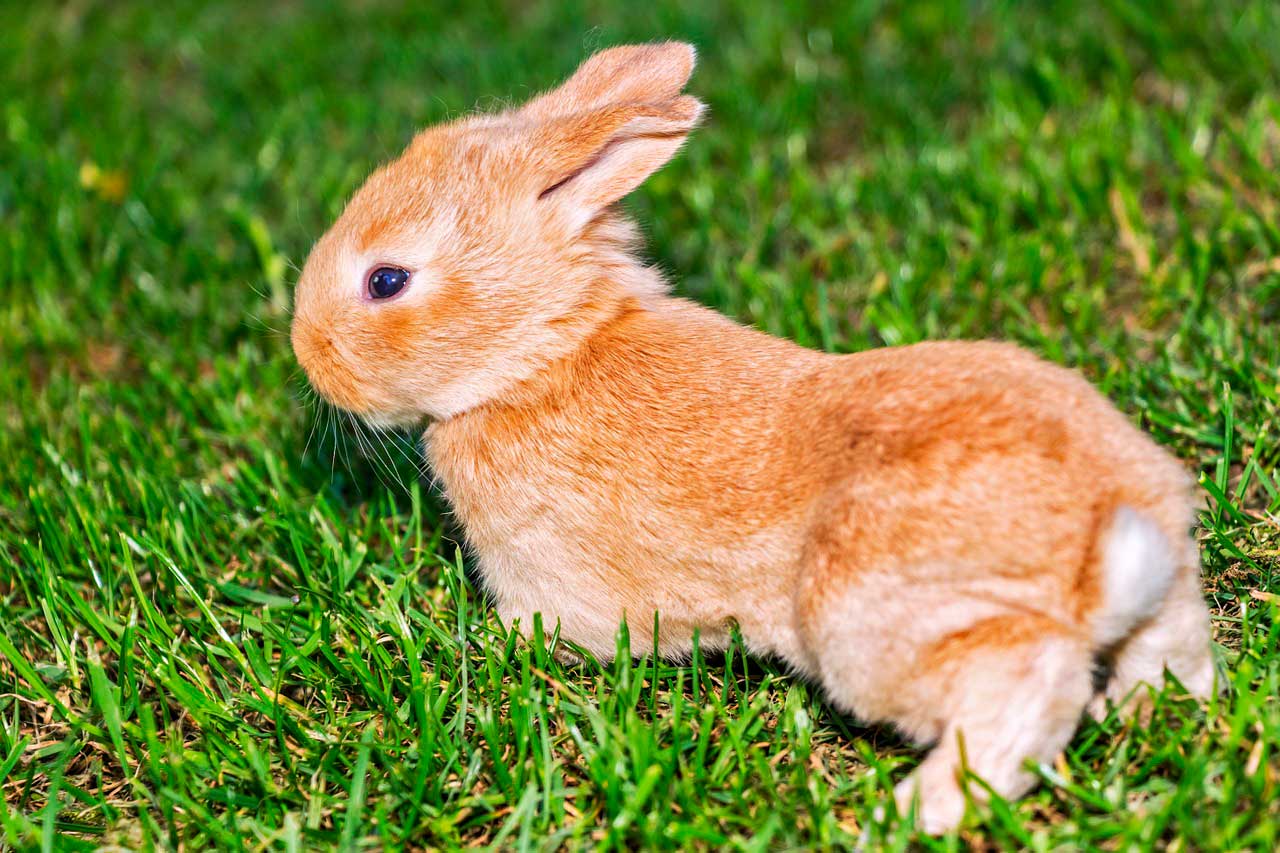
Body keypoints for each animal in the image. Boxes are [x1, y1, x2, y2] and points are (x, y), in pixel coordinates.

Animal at [293, 41, 1218, 829]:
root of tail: (1107, 533)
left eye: (386, 280)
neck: (542, 354)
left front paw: (484, 645)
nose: (306, 349)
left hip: (865, 622)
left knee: (1022, 692)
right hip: (1157, 592)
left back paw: (910, 810)